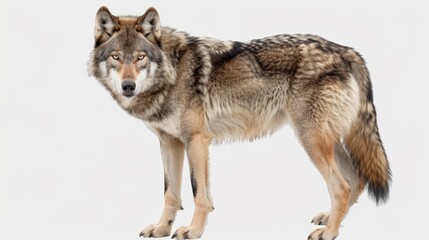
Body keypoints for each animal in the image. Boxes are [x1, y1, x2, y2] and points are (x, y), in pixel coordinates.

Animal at [88, 6, 392, 239]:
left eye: (140, 57)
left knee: (341, 186)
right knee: (355, 180)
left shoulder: (196, 140)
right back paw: (331, 220)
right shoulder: (169, 142)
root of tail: (348, 52)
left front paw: (193, 231)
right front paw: (162, 229)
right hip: (325, 140)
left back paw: (329, 233)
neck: (171, 73)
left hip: (311, 140)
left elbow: (199, 194)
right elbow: (171, 194)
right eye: (116, 57)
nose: (128, 86)